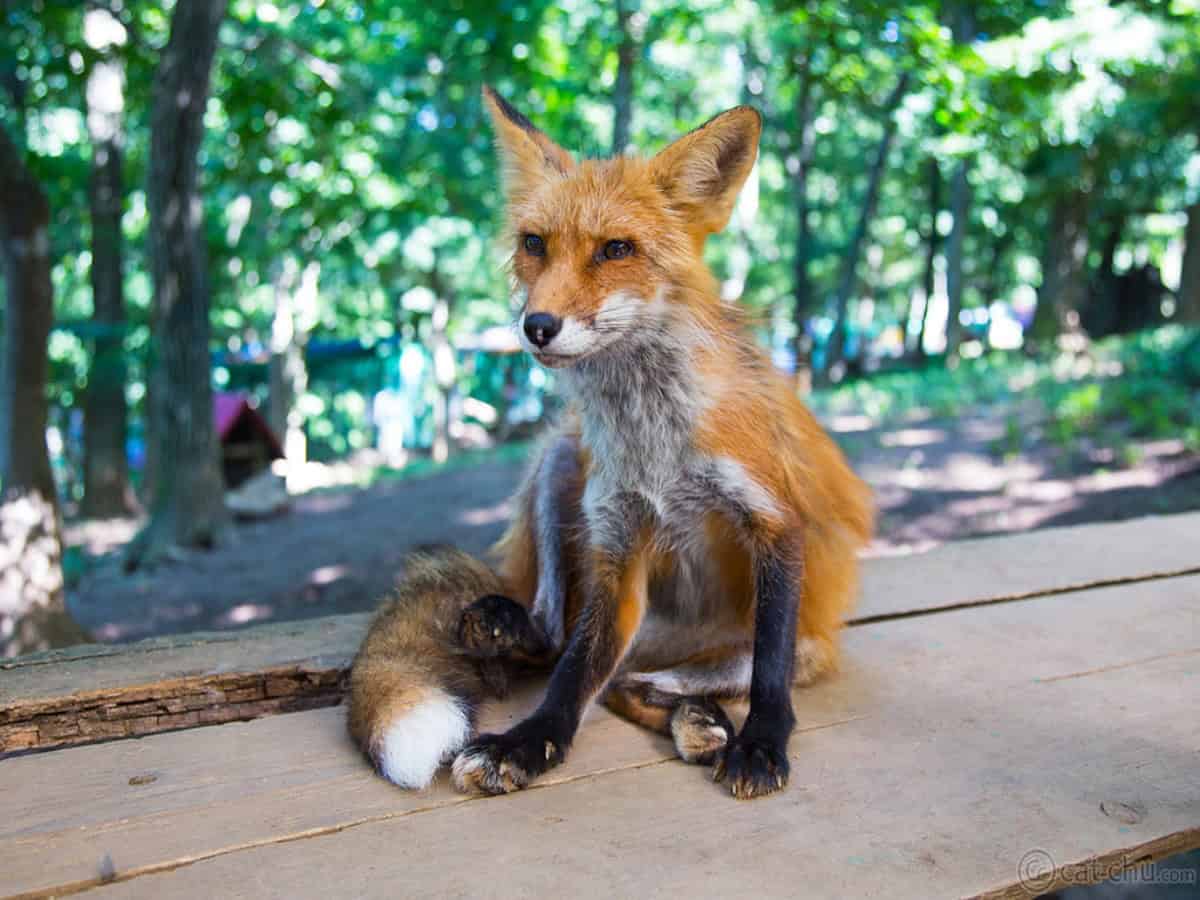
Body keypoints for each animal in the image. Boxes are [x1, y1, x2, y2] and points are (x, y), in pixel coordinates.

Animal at [347, 86, 873, 800]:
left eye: (616, 248)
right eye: (534, 243)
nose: (537, 326)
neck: (655, 439)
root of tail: (666, 643)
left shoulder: (773, 518)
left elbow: (769, 668)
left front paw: (763, 742)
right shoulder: (619, 546)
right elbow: (572, 674)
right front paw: (531, 742)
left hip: (794, 645)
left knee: (647, 682)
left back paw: (700, 722)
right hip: (560, 460)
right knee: (563, 641)